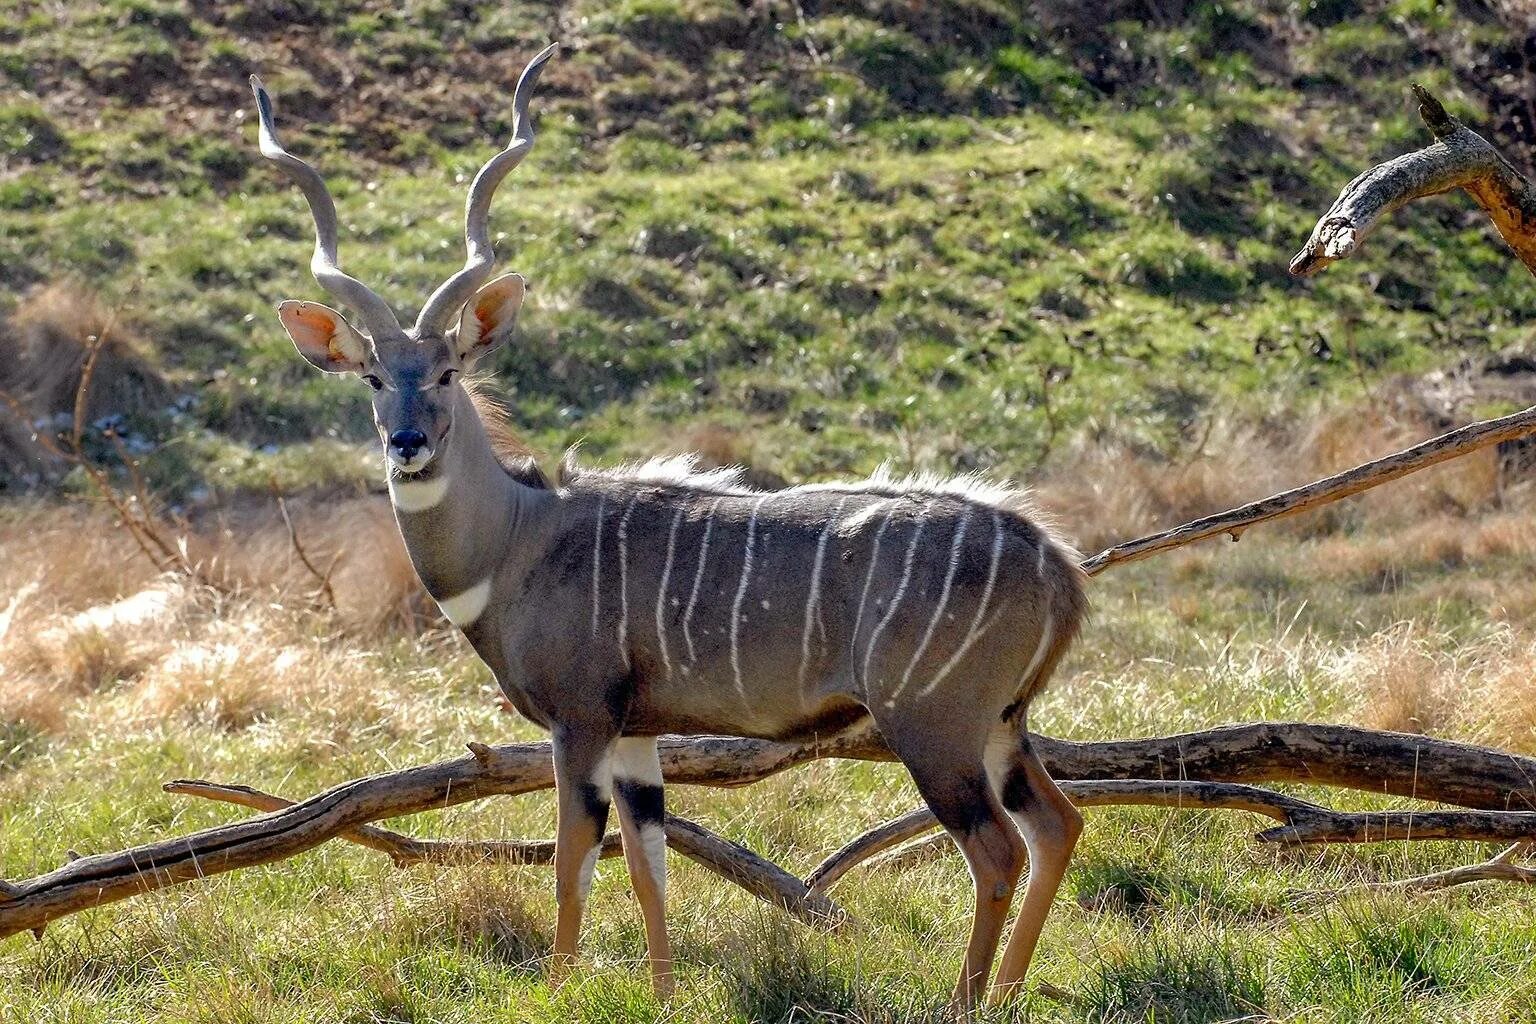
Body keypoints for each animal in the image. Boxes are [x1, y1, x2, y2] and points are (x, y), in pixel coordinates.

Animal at [251, 42, 1087, 1007]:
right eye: (374, 378)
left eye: (451, 371)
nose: (409, 444)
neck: (519, 539)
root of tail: (1057, 565)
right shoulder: (638, 733)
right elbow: (649, 863)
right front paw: (659, 991)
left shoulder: (579, 720)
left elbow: (574, 860)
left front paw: (559, 990)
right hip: (1002, 726)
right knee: (1058, 825)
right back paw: (1011, 992)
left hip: (932, 725)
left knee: (995, 849)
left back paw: (967, 999)